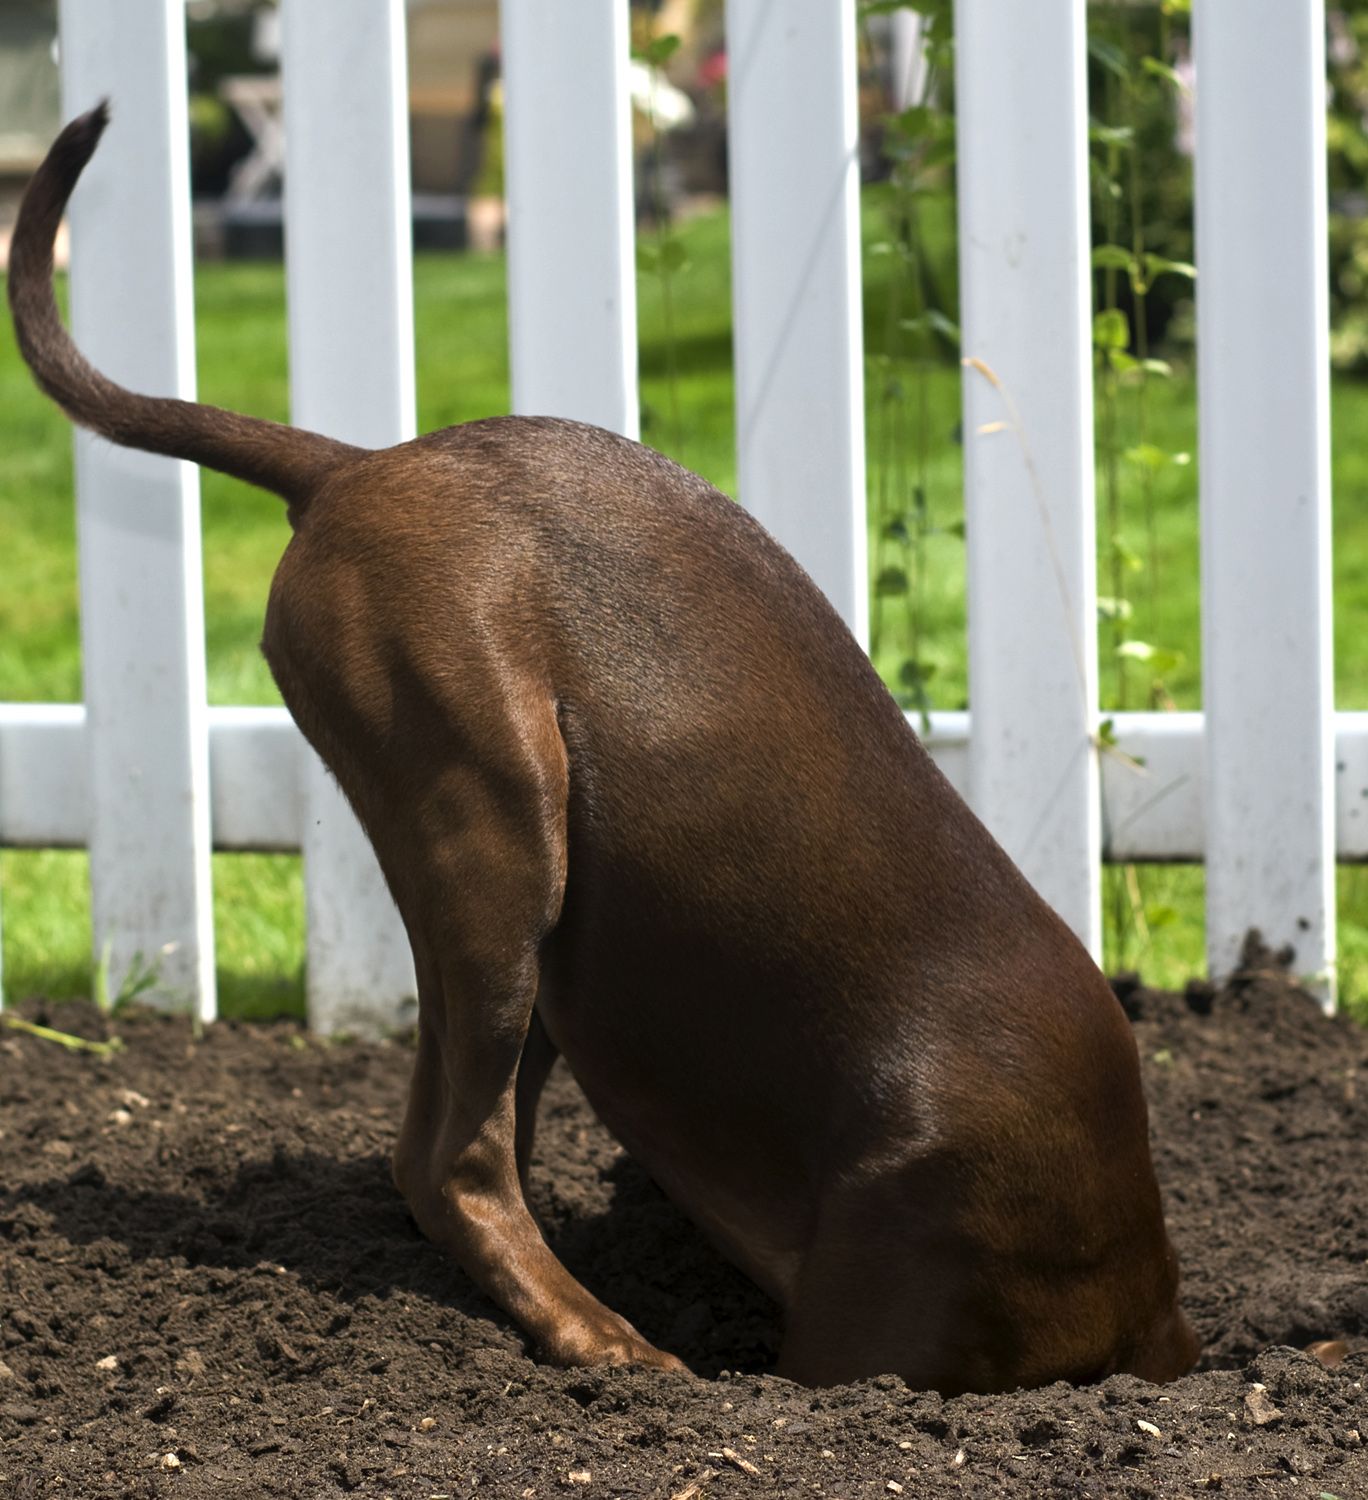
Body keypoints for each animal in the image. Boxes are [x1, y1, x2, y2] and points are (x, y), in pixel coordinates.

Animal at [8, 111, 1200, 1398]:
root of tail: (352, 464)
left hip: (520, 920)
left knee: (447, 1152)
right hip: (495, 831)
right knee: (454, 1164)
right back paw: (603, 1338)